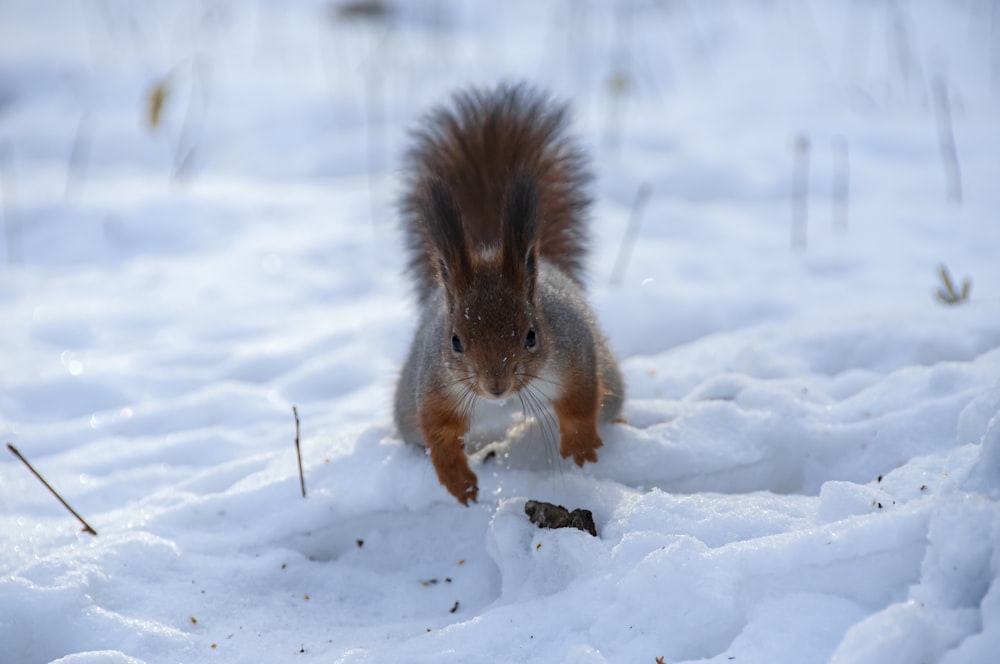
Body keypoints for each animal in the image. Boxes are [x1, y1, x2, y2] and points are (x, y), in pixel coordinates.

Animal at [392, 84, 620, 508]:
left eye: (531, 336)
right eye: (455, 341)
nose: (495, 386)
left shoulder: (574, 348)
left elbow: (581, 398)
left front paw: (580, 443)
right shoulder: (434, 384)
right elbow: (437, 430)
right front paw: (457, 480)